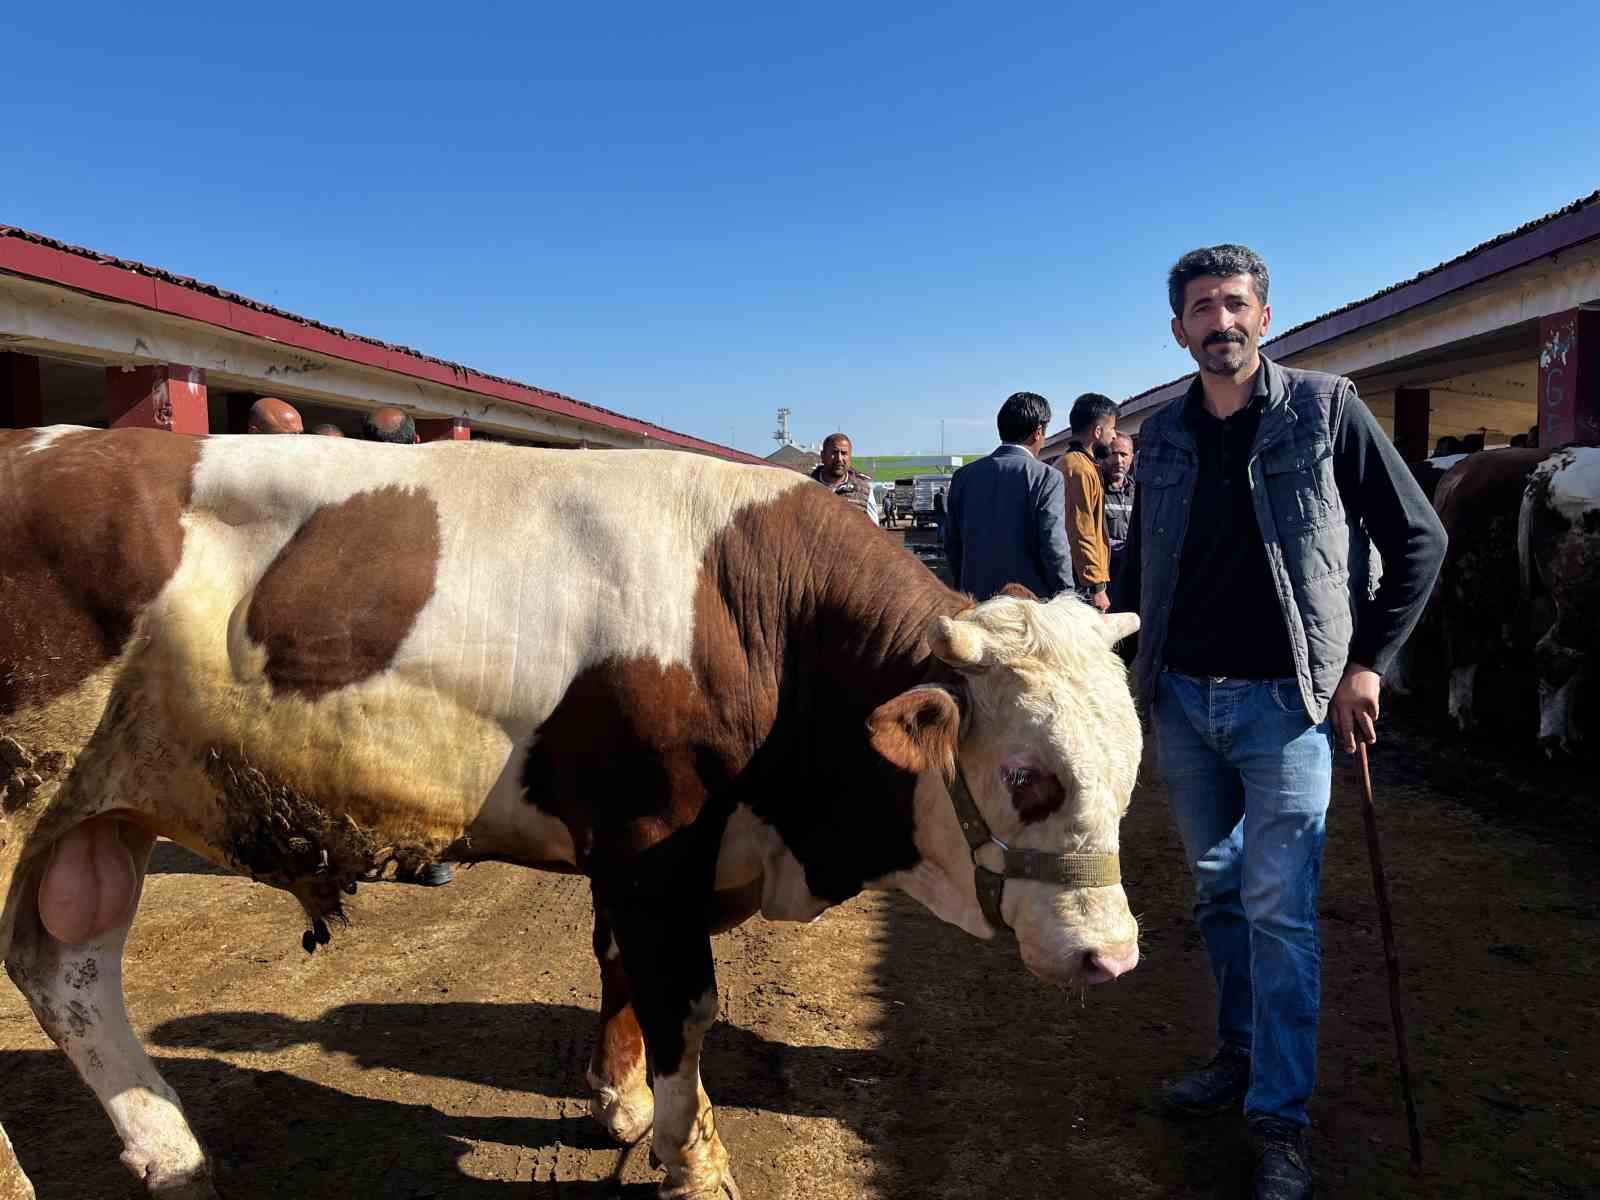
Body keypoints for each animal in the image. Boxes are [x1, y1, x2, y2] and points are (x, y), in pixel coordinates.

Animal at [3, 432, 1152, 1200]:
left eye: (1135, 772)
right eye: (1028, 776)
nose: (1113, 957)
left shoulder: (647, 849)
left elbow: (617, 968)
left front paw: (622, 1103)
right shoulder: (654, 841)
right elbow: (684, 1001)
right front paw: (694, 1163)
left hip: (98, 811)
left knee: (67, 974)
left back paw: (171, 1154)